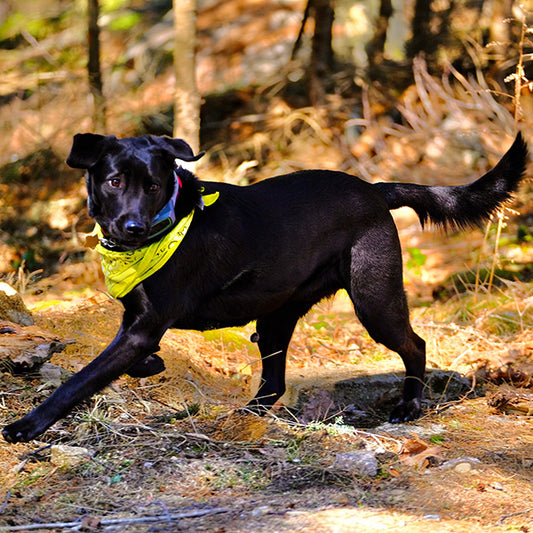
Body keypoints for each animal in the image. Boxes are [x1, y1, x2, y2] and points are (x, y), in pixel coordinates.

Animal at [2, 132, 524, 440]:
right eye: (114, 181)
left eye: (153, 186)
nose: (133, 227)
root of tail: (374, 190)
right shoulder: (135, 323)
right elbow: (126, 363)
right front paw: (152, 366)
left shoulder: (143, 327)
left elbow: (80, 380)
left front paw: (26, 426)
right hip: (276, 315)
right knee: (274, 383)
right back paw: (245, 415)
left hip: (374, 299)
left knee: (415, 344)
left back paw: (410, 405)